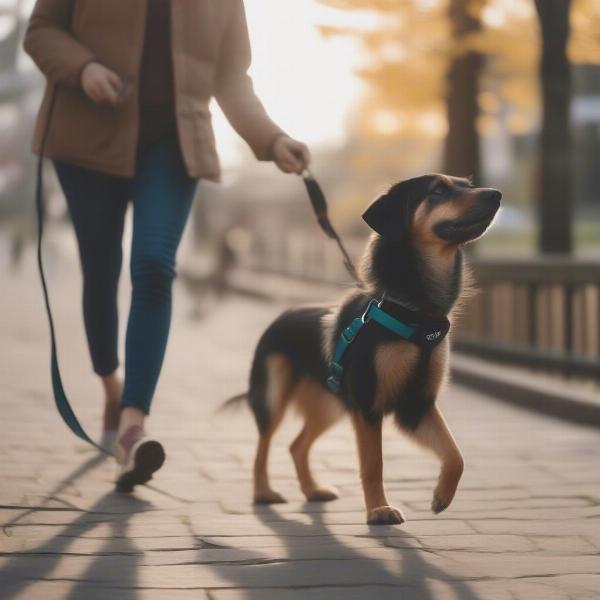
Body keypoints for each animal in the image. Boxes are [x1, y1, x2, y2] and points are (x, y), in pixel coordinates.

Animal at [223, 173, 500, 524]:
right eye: (437, 190)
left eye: (467, 184)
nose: (496, 194)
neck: (413, 313)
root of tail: (281, 317)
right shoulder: (368, 405)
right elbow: (373, 464)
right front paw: (379, 510)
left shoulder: (416, 404)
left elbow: (455, 454)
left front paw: (441, 496)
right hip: (273, 396)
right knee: (263, 445)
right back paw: (263, 493)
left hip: (331, 405)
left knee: (296, 446)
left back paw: (313, 490)